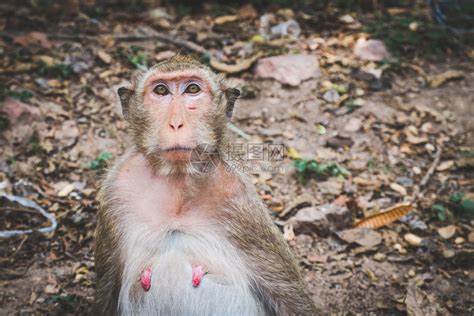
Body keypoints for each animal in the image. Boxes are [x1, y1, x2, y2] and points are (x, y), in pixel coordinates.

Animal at [93, 55, 318, 314]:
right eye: (161, 90)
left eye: (192, 89)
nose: (176, 123)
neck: (178, 181)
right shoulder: (116, 191)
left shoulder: (240, 200)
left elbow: (289, 296)